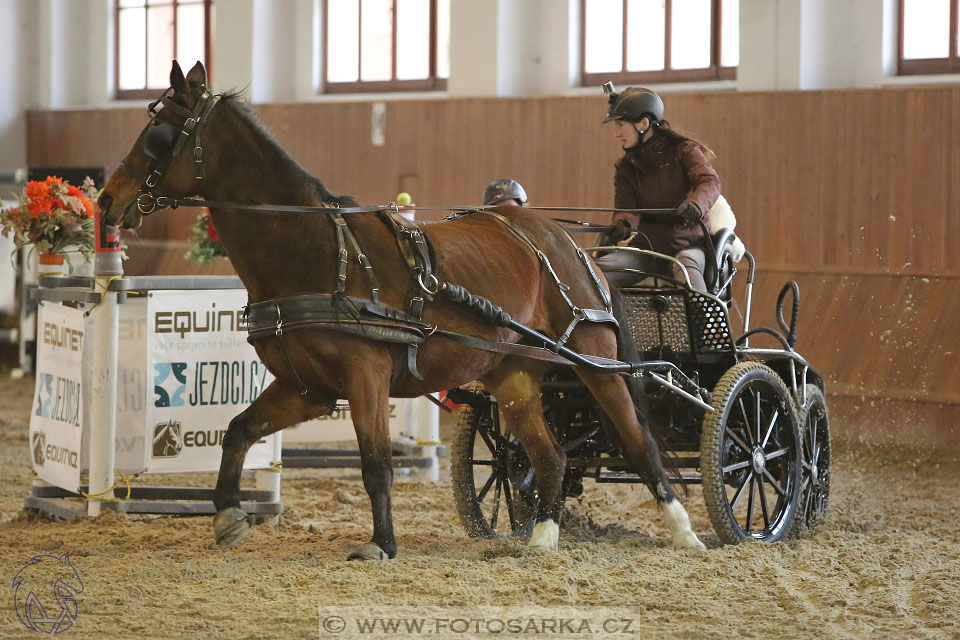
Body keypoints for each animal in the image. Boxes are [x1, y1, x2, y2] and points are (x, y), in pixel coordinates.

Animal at [97, 61, 704, 560]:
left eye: (159, 135)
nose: (106, 199)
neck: (315, 251)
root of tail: (568, 244)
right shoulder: (307, 386)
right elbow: (239, 430)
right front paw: (227, 515)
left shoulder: (364, 375)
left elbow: (376, 464)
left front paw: (382, 543)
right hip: (513, 373)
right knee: (548, 456)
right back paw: (542, 538)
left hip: (594, 361)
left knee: (639, 441)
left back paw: (685, 532)